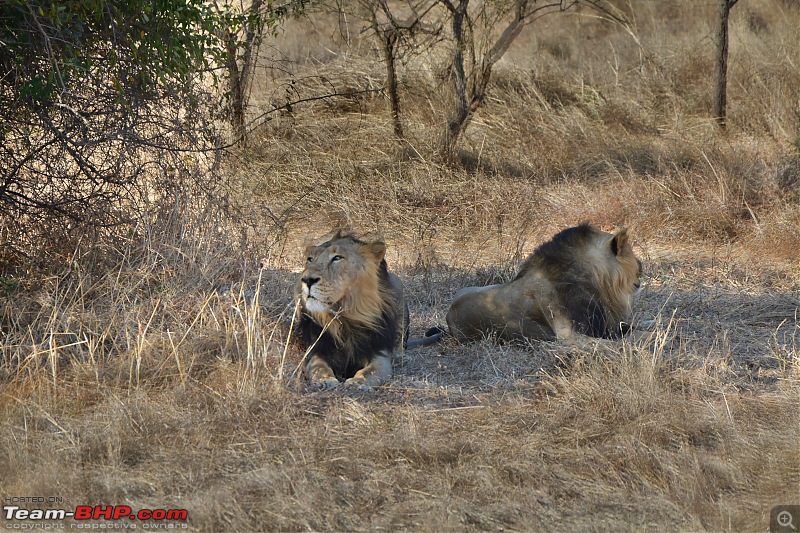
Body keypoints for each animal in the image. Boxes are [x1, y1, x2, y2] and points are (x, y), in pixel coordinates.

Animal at [296, 231, 432, 388]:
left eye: (337, 258)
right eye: (310, 259)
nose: (306, 280)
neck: (346, 317)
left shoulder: (379, 353)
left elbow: (370, 371)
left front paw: (358, 381)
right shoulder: (317, 350)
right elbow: (318, 367)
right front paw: (324, 380)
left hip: (398, 285)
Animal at [446, 222, 640, 342]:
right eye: (630, 252)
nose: (641, 265)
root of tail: (448, 316)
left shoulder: (607, 327)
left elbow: (636, 329)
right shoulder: (572, 337)